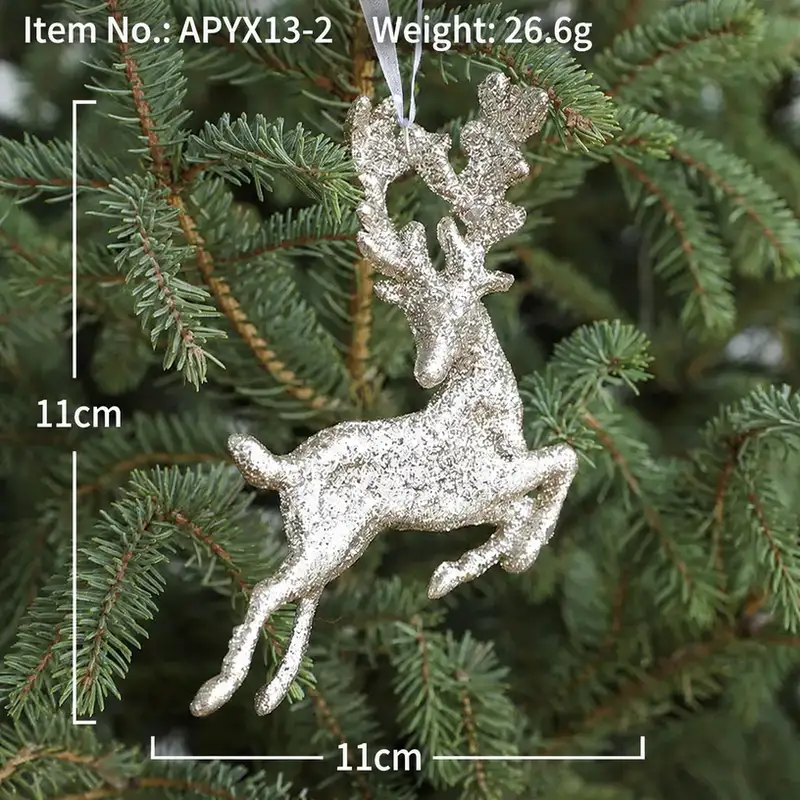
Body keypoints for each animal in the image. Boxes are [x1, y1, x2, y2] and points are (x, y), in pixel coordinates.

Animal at [190, 72, 578, 719]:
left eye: (459, 310)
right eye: (417, 318)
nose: (426, 373)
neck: (491, 417)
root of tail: (283, 470)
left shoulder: (482, 499)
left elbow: (528, 501)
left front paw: (455, 572)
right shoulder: (482, 481)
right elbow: (561, 460)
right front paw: (518, 556)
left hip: (336, 539)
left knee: (303, 596)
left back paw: (274, 692)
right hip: (330, 535)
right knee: (268, 589)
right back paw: (215, 691)